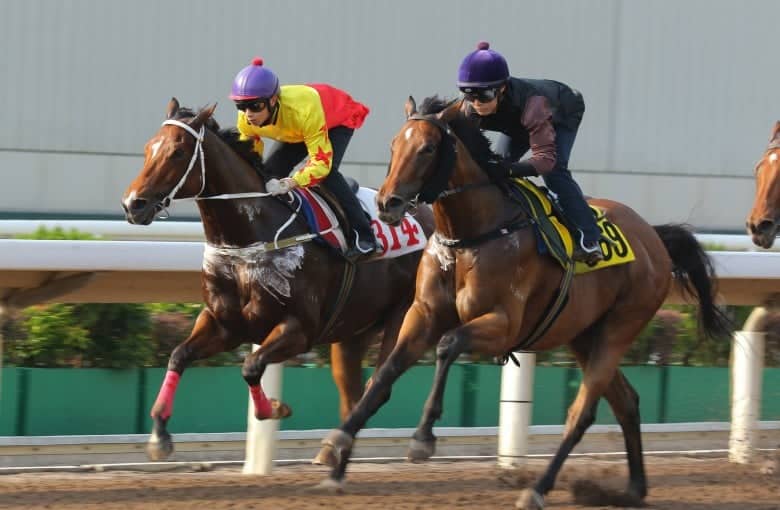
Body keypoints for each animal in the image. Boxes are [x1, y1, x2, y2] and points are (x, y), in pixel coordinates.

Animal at [124, 98, 436, 462]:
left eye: (177, 152)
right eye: (149, 148)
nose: (133, 204)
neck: (247, 240)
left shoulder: (299, 330)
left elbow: (251, 366)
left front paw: (273, 408)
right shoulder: (225, 324)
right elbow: (178, 355)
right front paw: (159, 434)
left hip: (404, 318)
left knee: (379, 386)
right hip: (352, 332)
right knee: (353, 391)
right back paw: (332, 452)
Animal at [318, 96, 732, 510]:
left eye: (428, 148)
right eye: (394, 146)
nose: (387, 203)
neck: (471, 234)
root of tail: (654, 237)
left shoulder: (504, 325)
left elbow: (448, 345)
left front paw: (422, 439)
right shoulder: (424, 313)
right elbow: (386, 371)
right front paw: (338, 440)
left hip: (621, 326)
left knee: (582, 413)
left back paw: (537, 489)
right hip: (584, 335)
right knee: (626, 402)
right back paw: (633, 488)